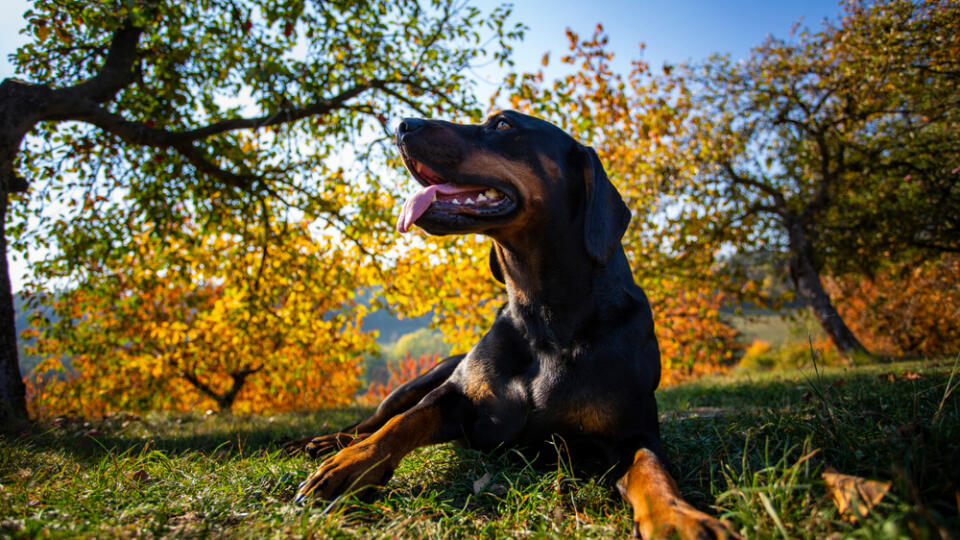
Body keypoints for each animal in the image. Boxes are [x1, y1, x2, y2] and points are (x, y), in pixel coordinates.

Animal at [288, 110, 740, 540]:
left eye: (503, 124)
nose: (401, 125)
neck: (542, 317)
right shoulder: (454, 394)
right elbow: (401, 424)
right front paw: (350, 465)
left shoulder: (632, 431)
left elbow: (653, 472)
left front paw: (679, 519)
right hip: (415, 382)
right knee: (370, 421)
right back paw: (321, 443)